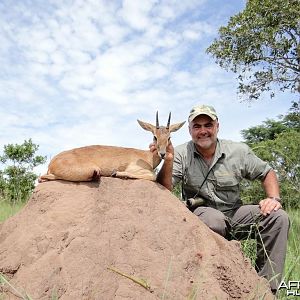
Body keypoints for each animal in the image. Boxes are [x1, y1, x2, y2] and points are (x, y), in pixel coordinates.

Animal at [38, 113, 185, 182]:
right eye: (155, 136)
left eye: (169, 137)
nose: (162, 154)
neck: (146, 156)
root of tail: (52, 162)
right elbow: (153, 176)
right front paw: (116, 173)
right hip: (91, 170)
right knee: (42, 177)